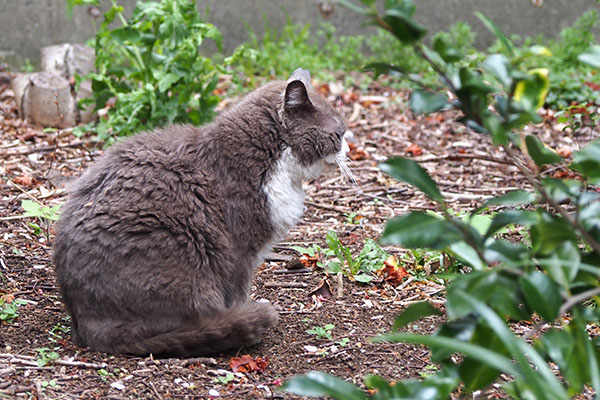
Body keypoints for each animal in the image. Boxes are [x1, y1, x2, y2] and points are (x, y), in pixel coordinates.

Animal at [54, 69, 352, 356]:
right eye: (338, 134)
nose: (348, 149)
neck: (272, 161)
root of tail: (87, 324)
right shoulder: (240, 248)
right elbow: (238, 288)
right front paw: (241, 311)